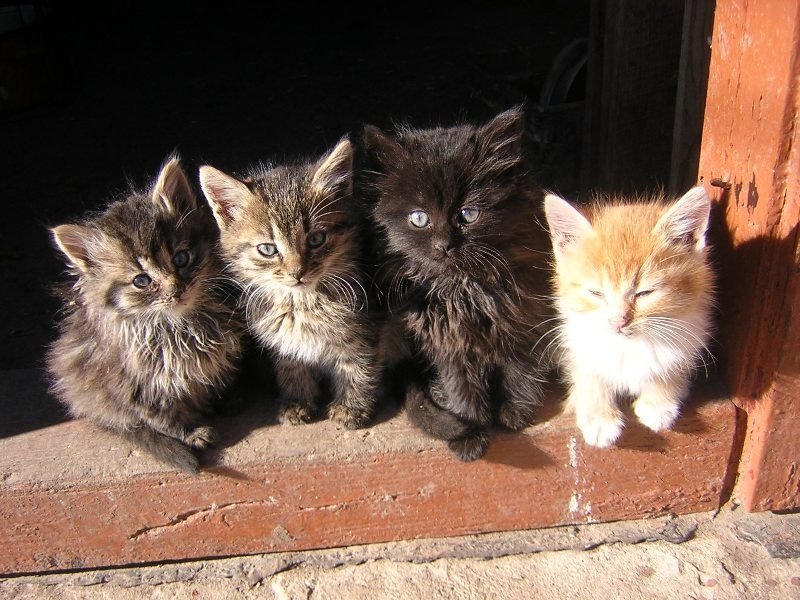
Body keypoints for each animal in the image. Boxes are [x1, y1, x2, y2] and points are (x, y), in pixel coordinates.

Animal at [46, 154, 245, 474]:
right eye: (141, 280)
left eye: (181, 258)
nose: (176, 290)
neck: (181, 324)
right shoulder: (134, 380)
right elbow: (161, 416)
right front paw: (191, 433)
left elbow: (219, 377)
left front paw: (228, 400)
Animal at [198, 138, 380, 429]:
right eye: (268, 249)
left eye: (316, 239)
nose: (297, 272)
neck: (301, 303)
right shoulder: (281, 341)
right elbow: (291, 366)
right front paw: (297, 401)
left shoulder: (363, 329)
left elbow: (357, 365)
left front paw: (351, 407)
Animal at [361, 107, 552, 461]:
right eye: (419, 218)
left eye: (468, 214)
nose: (445, 246)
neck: (466, 287)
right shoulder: (446, 339)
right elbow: (461, 387)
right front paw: (471, 433)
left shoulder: (520, 317)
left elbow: (519, 368)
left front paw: (516, 413)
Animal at [543, 187, 715, 447]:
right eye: (596, 293)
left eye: (644, 293)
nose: (618, 321)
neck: (629, 347)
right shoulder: (576, 343)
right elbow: (588, 374)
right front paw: (599, 416)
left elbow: (673, 367)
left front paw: (659, 402)